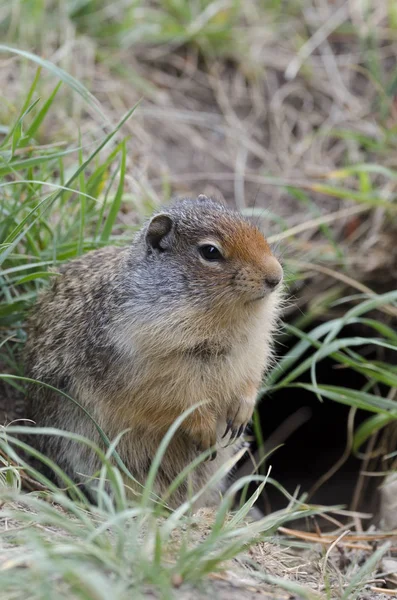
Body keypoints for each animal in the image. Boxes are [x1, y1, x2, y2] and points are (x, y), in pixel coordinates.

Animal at [24, 196, 282, 506]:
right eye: (209, 251)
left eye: (255, 230)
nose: (276, 277)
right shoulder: (147, 370)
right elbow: (178, 401)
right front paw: (206, 432)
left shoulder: (253, 351)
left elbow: (249, 381)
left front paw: (242, 414)